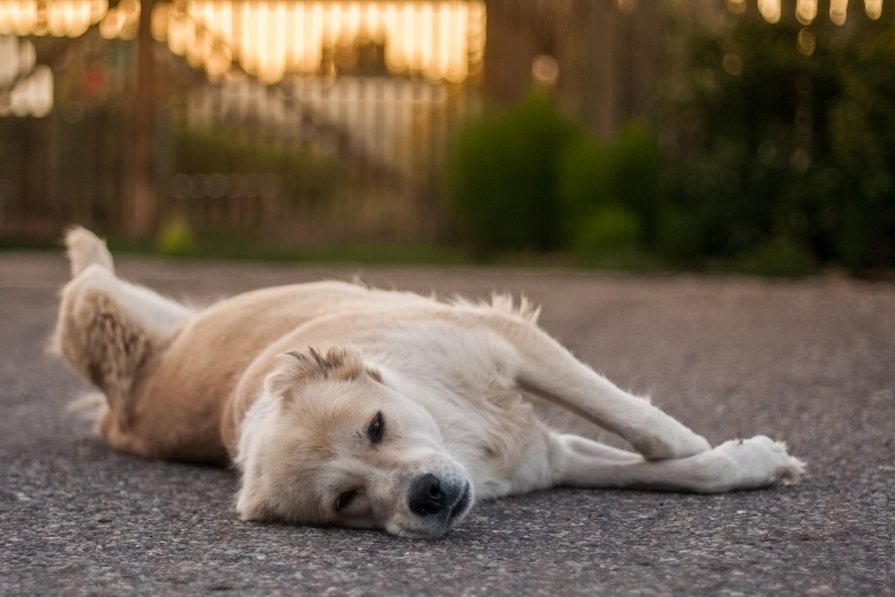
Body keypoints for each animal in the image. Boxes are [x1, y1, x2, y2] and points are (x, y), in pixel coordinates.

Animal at [52, 227, 804, 536]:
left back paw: (88, 243)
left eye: (376, 426)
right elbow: (682, 472)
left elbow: (643, 426)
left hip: (110, 312)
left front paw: (714, 445)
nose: (430, 496)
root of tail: (121, 404)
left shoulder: (509, 343)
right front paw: (746, 460)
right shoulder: (551, 458)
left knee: (89, 275)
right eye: (347, 499)